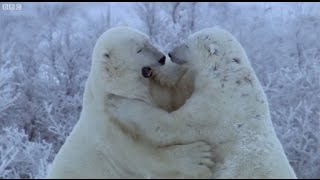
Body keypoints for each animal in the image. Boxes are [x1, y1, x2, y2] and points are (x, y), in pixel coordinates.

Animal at [45, 26, 215, 179]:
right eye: (139, 50)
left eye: (148, 41)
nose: (162, 58)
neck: (116, 90)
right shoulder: (111, 131)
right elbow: (142, 156)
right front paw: (199, 157)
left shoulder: (152, 89)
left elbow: (174, 94)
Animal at [107, 27, 298, 178]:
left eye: (186, 44)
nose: (170, 53)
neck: (228, 77)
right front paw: (161, 72)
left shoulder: (216, 107)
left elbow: (173, 125)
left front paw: (118, 102)